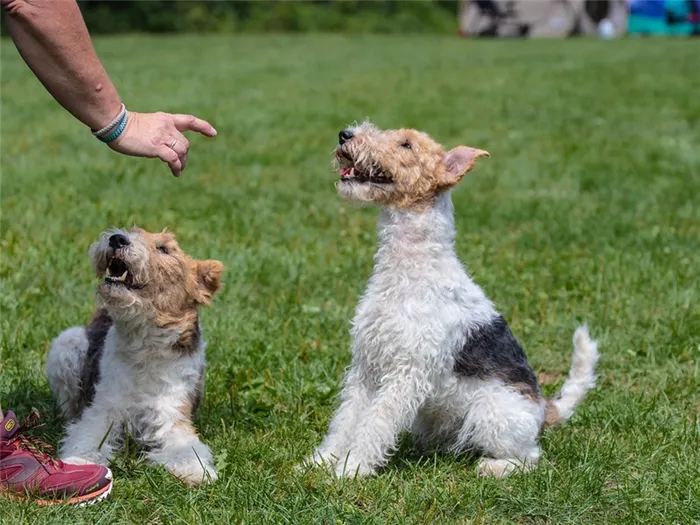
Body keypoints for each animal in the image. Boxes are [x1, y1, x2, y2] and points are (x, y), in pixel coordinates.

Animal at [45, 227, 224, 486]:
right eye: (133, 230)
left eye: (164, 249)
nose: (117, 238)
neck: (144, 344)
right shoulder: (103, 410)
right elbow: (87, 437)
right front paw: (79, 464)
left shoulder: (172, 416)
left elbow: (185, 449)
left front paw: (196, 471)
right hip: (66, 346)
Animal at [308, 123, 600, 478]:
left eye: (406, 144)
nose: (345, 134)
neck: (410, 267)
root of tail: (545, 409)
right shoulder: (367, 367)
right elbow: (346, 421)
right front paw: (321, 461)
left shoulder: (406, 375)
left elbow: (374, 425)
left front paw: (350, 470)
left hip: (491, 413)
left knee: (530, 457)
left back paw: (491, 468)